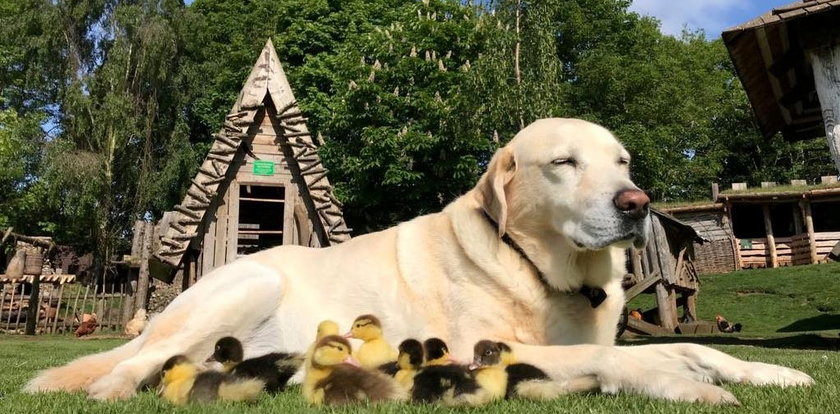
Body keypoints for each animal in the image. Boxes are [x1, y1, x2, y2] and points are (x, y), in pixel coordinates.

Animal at [27, 118, 812, 402]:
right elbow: (629, 357)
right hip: (247, 280)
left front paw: (769, 372)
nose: (635, 202)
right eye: (563, 163)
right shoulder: (479, 346)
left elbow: (695, 346)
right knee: (131, 367)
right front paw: (679, 383)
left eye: (621, 161)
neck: (545, 273)